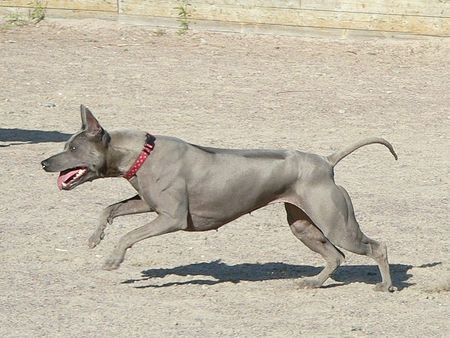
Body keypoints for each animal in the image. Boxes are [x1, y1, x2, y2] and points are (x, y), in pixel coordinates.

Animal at [41, 105, 398, 290]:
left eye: (73, 147)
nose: (44, 162)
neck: (143, 152)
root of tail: (326, 161)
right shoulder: (148, 204)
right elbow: (109, 209)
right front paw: (94, 238)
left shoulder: (170, 218)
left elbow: (129, 235)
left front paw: (113, 260)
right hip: (303, 225)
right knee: (335, 256)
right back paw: (311, 283)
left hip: (336, 223)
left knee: (375, 247)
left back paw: (385, 286)